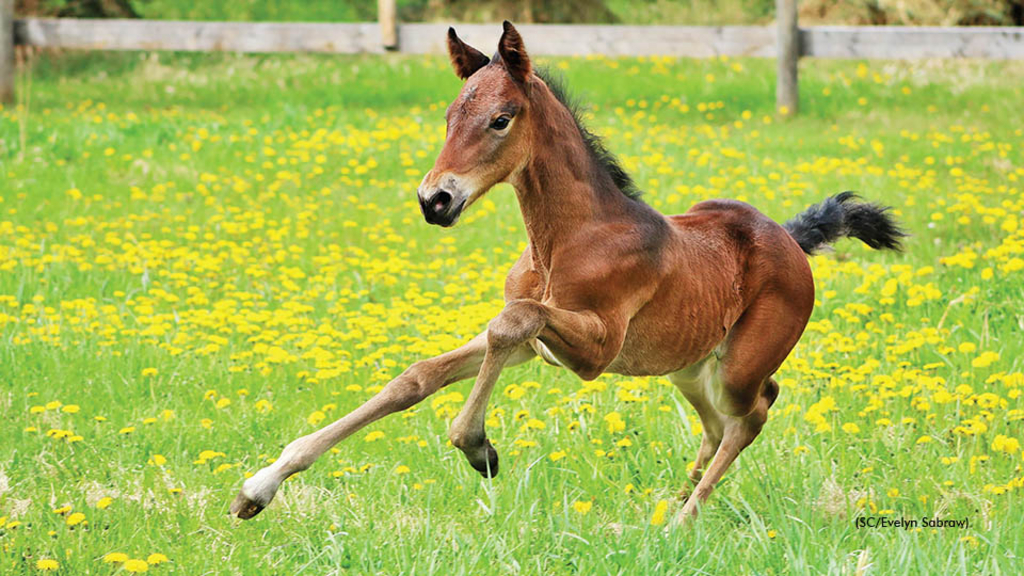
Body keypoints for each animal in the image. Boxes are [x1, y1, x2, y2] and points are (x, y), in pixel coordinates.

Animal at [232, 22, 905, 522]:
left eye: (500, 118)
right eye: (449, 116)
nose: (434, 200)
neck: (567, 239)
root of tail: (791, 238)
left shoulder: (594, 351)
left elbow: (513, 319)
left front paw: (478, 448)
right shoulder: (535, 346)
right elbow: (418, 377)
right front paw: (258, 487)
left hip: (739, 366)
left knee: (757, 408)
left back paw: (685, 519)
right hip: (687, 366)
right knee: (717, 423)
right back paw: (672, 503)